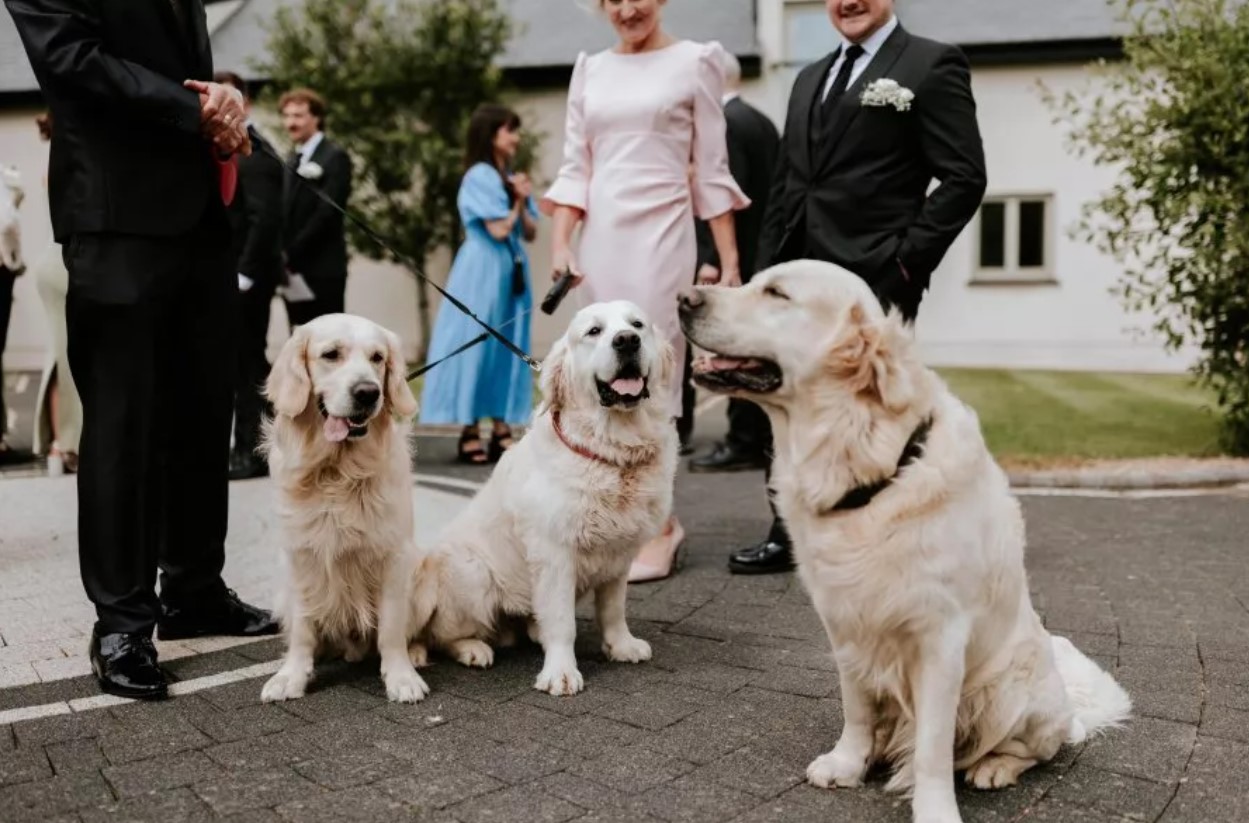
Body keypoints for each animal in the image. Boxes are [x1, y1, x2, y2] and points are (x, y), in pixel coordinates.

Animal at [258, 312, 429, 704]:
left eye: (378, 358)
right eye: (331, 354)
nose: (368, 392)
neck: (338, 471)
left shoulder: (394, 556)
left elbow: (391, 628)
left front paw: (401, 676)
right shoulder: (300, 556)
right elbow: (303, 627)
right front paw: (292, 675)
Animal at [412, 300, 679, 694]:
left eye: (637, 325)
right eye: (594, 331)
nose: (627, 341)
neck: (611, 449)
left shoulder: (620, 554)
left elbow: (613, 609)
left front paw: (621, 645)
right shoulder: (555, 554)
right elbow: (562, 622)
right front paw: (561, 672)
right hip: (474, 574)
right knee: (440, 634)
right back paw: (471, 649)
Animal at [684, 262, 1134, 823]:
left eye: (777, 293)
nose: (684, 299)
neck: (864, 463)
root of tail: (1072, 709)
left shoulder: (940, 639)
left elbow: (933, 748)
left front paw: (935, 808)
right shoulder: (844, 623)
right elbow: (856, 708)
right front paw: (849, 762)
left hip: (1011, 687)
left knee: (1033, 748)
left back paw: (994, 767)